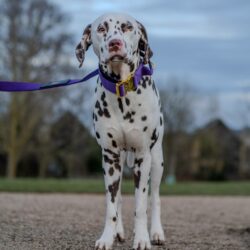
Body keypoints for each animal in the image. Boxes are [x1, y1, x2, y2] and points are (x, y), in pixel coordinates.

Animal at [75, 13, 166, 250]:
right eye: (101, 29)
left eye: (127, 27)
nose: (114, 43)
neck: (122, 90)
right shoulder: (110, 158)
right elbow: (111, 205)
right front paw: (107, 237)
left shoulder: (143, 157)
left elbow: (141, 205)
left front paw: (142, 239)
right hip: (121, 161)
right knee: (119, 200)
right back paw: (119, 232)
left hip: (157, 161)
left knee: (155, 198)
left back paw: (156, 233)